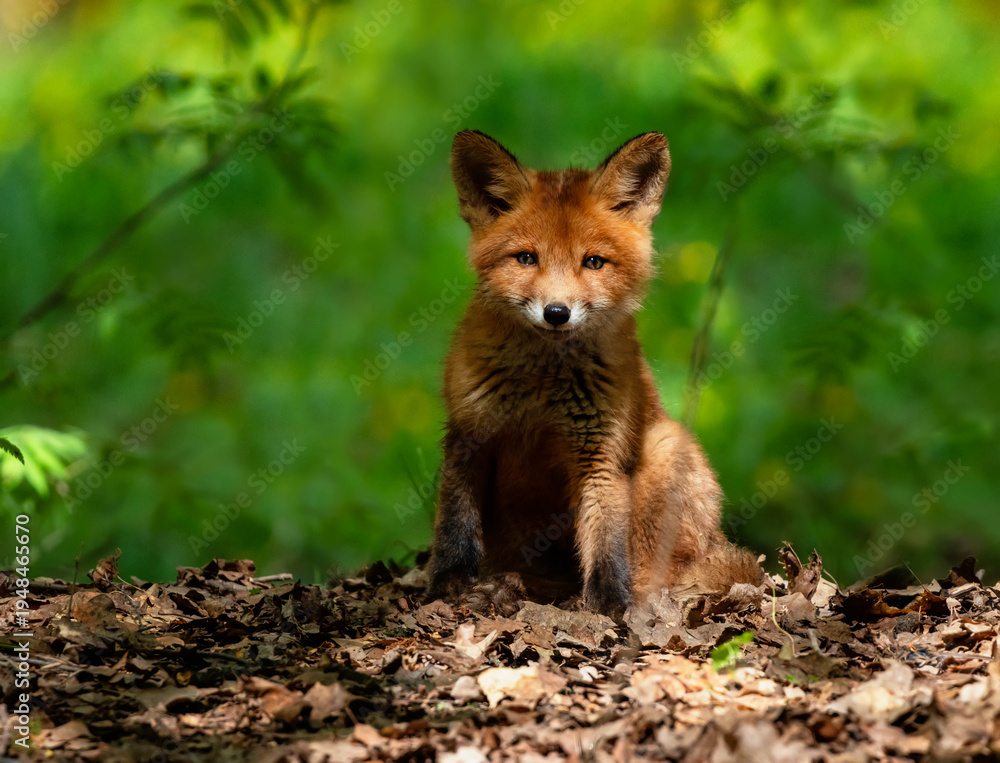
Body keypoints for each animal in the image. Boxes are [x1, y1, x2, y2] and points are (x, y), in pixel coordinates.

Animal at [425, 129, 762, 619]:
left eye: (594, 262)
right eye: (526, 258)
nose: (556, 313)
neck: (541, 388)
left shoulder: (599, 451)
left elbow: (605, 541)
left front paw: (607, 606)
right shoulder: (470, 432)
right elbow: (455, 522)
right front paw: (449, 583)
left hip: (666, 451)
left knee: (652, 575)